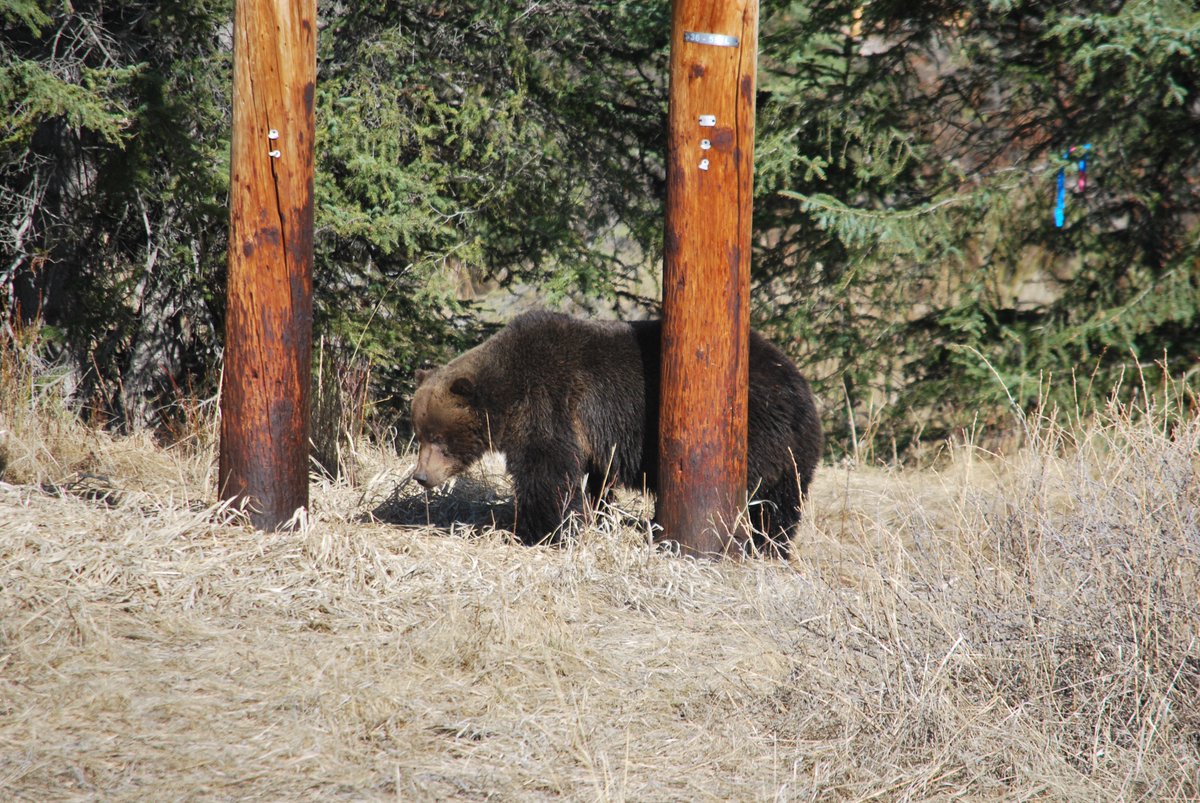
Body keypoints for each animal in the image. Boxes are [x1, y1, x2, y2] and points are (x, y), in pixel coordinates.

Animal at [410, 310, 821, 555]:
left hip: (753, 432)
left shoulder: (551, 403)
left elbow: (547, 473)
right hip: (791, 452)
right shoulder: (595, 437)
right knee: (782, 500)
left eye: (440, 439)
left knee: (757, 496)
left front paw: (539, 530)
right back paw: (772, 544)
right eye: (421, 433)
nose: (421, 476)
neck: (507, 392)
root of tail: (800, 387)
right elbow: (595, 478)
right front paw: (591, 516)